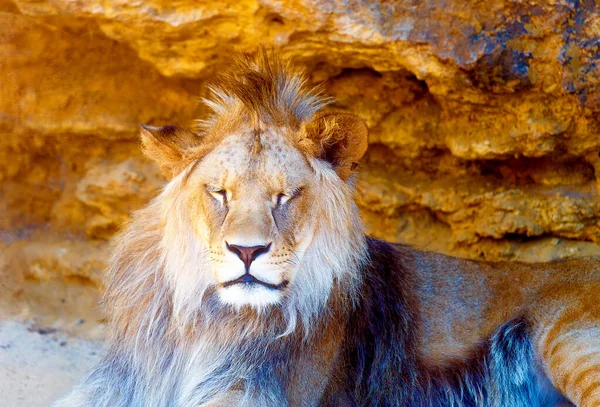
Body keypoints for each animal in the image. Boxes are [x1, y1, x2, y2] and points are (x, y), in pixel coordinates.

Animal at [57, 51, 600, 407]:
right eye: (220, 194)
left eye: (285, 196)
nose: (246, 252)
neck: (208, 322)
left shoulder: (255, 394)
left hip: (568, 341)